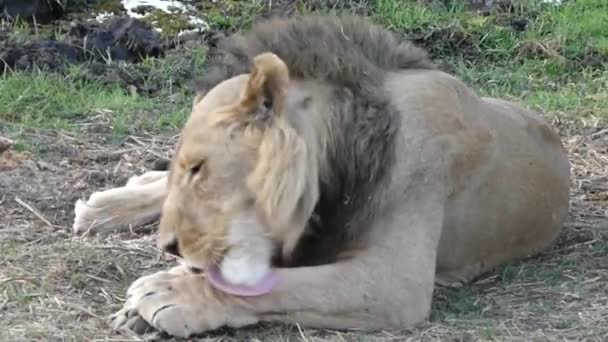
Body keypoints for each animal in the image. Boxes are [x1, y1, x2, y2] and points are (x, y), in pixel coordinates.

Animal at [71, 15, 568, 336]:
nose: (169, 247)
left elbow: (272, 286)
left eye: (199, 168)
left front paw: (168, 293)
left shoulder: (393, 282)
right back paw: (104, 206)